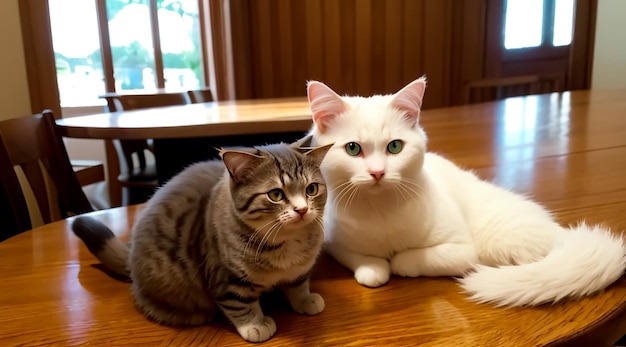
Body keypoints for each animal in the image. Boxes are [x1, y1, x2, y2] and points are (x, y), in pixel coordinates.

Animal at [72, 143, 332, 344]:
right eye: (276, 194)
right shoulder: (226, 277)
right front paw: (254, 325)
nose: (302, 210)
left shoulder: (300, 268)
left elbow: (298, 284)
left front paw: (305, 299)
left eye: (311, 189)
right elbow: (239, 303)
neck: (288, 241)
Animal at [306, 77, 624, 306]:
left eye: (394, 147)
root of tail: (562, 233)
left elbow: (413, 258)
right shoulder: (333, 241)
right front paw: (374, 267)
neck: (379, 210)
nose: (377, 173)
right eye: (353, 149)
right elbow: (364, 261)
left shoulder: (462, 249)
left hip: (499, 239)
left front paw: (398, 261)